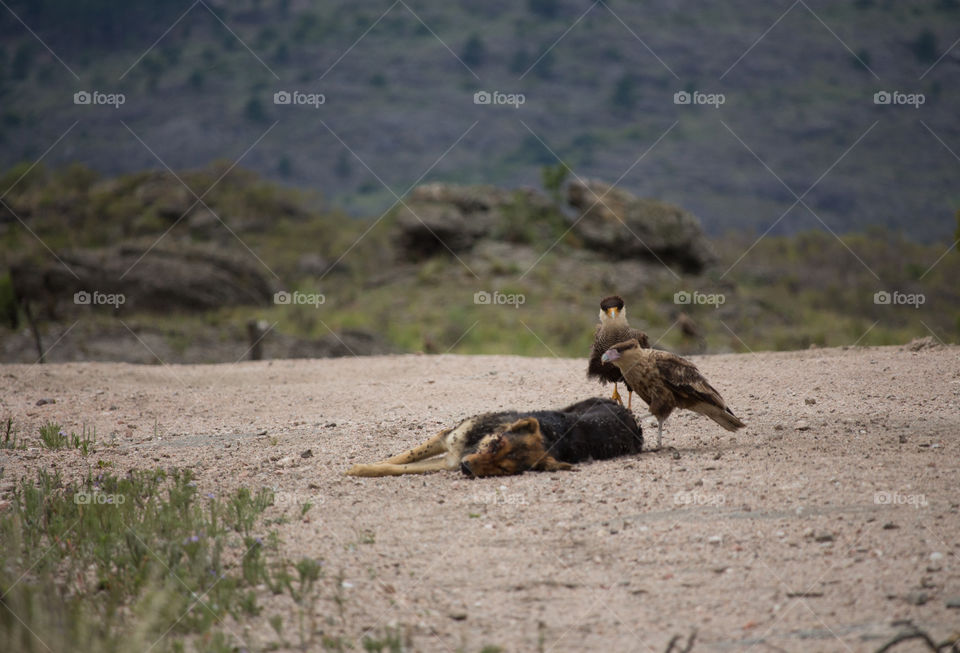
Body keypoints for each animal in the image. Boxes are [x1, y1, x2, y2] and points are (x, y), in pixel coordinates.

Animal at [344, 394, 644, 476]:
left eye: (502, 469)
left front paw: (362, 469)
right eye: (495, 445)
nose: (466, 468)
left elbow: (395, 468)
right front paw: (358, 467)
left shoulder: (449, 461)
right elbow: (400, 459)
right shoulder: (446, 438)